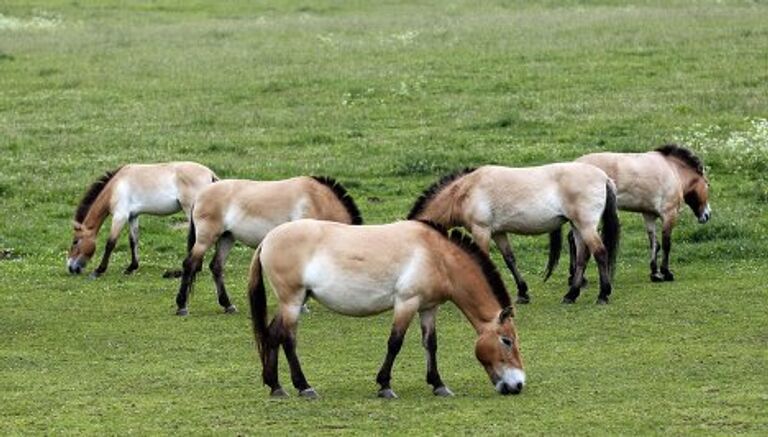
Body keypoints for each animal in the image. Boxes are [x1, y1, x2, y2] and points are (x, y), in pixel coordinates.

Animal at [67, 162, 218, 278]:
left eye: (75, 241)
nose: (70, 268)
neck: (115, 186)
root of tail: (210, 174)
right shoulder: (132, 216)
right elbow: (133, 241)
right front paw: (131, 267)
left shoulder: (120, 216)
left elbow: (110, 243)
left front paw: (99, 270)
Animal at [176, 175, 362, 316]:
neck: (317, 200)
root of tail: (201, 194)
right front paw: (302, 306)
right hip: (205, 239)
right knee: (190, 264)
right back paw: (182, 307)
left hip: (226, 238)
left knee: (216, 266)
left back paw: (228, 305)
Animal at [249, 220, 524, 396]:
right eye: (507, 340)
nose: (518, 385)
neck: (436, 255)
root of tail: (268, 239)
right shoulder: (406, 303)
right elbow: (395, 343)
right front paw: (385, 386)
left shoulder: (428, 308)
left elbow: (431, 344)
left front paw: (438, 384)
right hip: (292, 301)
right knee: (288, 340)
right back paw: (303, 386)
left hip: (292, 302)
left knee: (272, 335)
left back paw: (276, 386)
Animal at [412, 164, 620, 304]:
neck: (467, 190)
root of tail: (604, 178)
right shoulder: (498, 232)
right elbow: (510, 259)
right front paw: (522, 293)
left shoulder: (481, 230)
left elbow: (482, 258)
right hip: (577, 226)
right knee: (582, 257)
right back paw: (571, 295)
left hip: (586, 226)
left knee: (600, 253)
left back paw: (603, 295)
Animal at [572, 141, 712, 282]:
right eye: (707, 184)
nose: (707, 215)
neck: (673, 170)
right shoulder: (669, 214)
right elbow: (666, 244)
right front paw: (666, 273)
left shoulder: (649, 215)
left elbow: (655, 244)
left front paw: (655, 273)